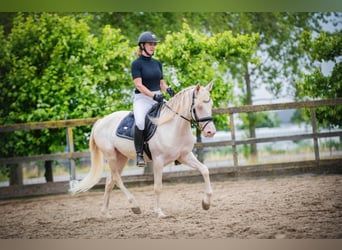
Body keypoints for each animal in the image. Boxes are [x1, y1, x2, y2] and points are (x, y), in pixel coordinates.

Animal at [69, 81, 216, 217]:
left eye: (211, 105)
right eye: (198, 106)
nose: (210, 132)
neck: (173, 127)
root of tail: (101, 121)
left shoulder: (184, 156)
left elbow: (205, 170)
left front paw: (206, 203)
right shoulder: (158, 161)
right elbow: (158, 187)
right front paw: (159, 212)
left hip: (121, 157)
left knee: (110, 181)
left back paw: (105, 213)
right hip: (110, 155)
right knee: (116, 179)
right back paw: (135, 205)